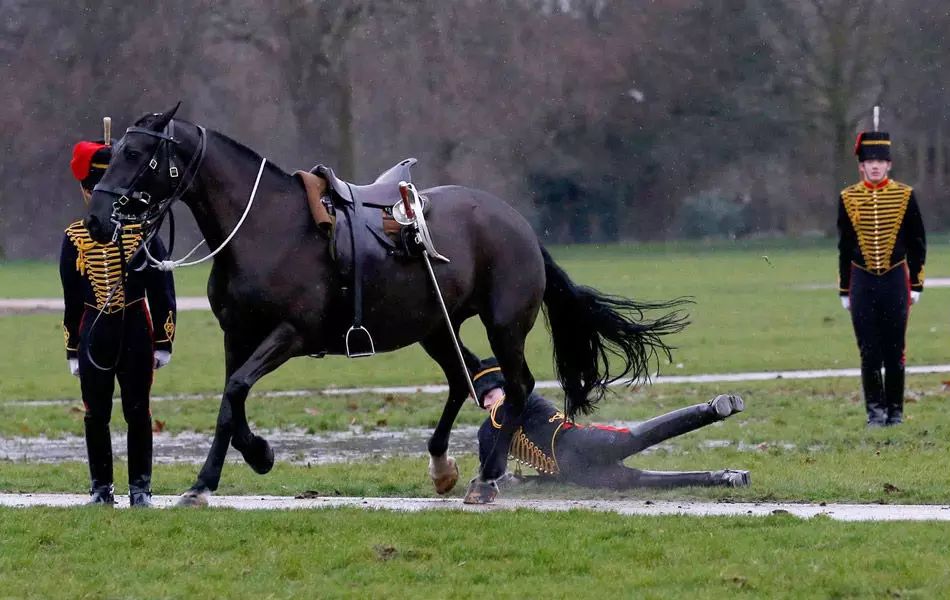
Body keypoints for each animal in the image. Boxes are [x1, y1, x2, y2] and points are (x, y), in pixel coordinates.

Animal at [83, 105, 684, 504]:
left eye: (136, 154)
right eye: (113, 153)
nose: (95, 218)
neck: (267, 226)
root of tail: (518, 225)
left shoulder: (289, 335)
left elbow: (234, 395)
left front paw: (222, 474)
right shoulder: (239, 336)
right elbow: (234, 401)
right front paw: (243, 460)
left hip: (503, 325)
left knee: (515, 386)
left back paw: (486, 476)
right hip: (435, 327)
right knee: (465, 381)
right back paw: (442, 464)